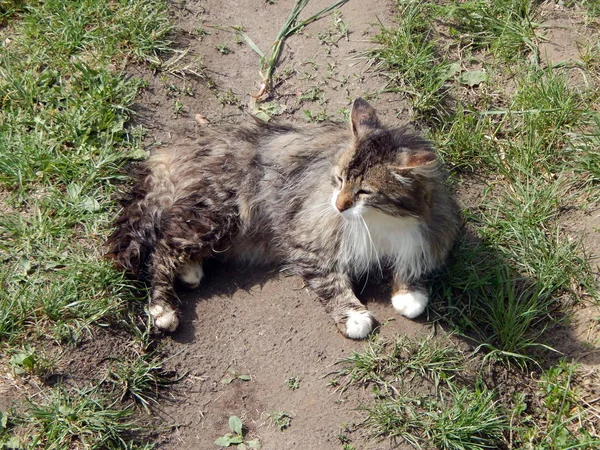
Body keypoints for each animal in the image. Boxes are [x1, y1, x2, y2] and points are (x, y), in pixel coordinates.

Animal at [106, 97, 460, 338]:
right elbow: (332, 282)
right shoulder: (308, 237)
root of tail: (173, 150)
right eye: (339, 180)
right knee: (162, 250)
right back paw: (163, 309)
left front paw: (408, 295)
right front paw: (354, 317)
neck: (381, 221)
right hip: (216, 215)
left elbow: (410, 264)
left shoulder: (426, 232)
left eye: (364, 192)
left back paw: (190, 272)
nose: (339, 206)